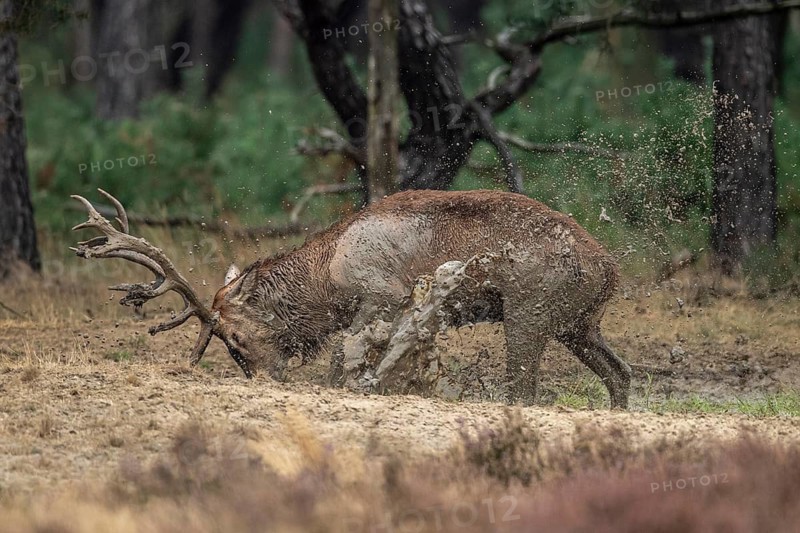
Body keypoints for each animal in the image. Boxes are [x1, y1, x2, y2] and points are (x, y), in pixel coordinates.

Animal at [72, 188, 632, 408]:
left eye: (234, 339)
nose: (264, 380)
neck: (328, 279)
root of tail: (611, 270)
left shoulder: (382, 299)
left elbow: (346, 361)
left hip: (529, 312)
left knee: (524, 389)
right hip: (579, 323)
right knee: (620, 371)